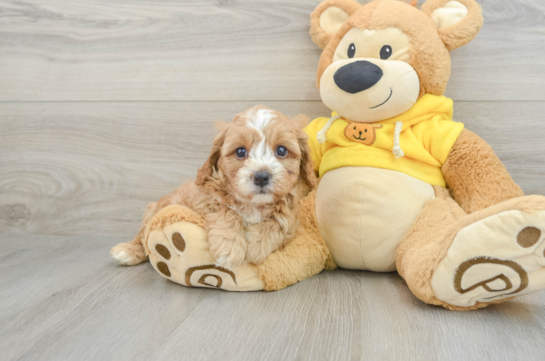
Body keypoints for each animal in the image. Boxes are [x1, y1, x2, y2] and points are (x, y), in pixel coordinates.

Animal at [110, 105, 314, 268]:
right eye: (240, 151)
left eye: (281, 150)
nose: (262, 177)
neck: (253, 204)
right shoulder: (204, 198)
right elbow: (226, 211)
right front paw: (229, 249)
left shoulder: (291, 215)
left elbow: (278, 223)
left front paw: (256, 245)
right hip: (153, 210)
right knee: (143, 236)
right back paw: (128, 251)